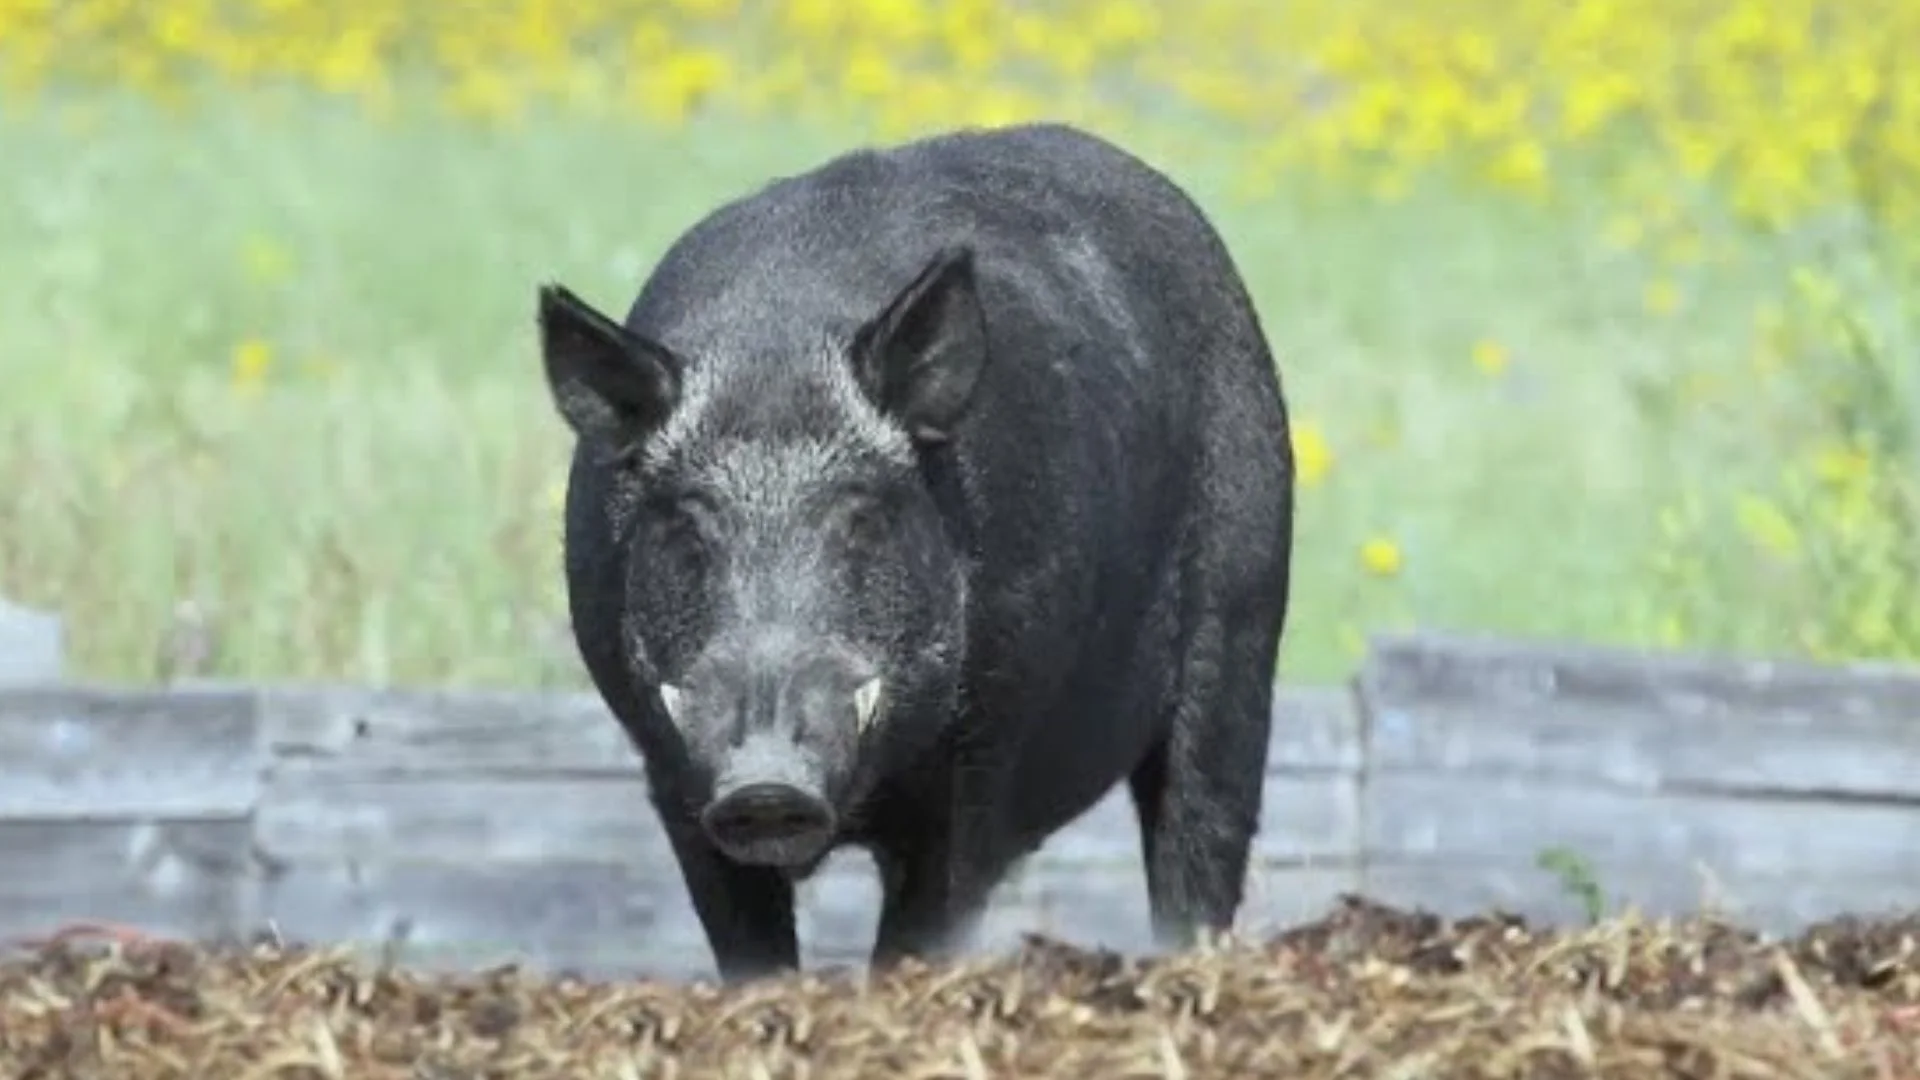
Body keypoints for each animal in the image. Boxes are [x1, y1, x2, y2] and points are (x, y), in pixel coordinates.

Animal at [536, 122, 1294, 983]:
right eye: (691, 528)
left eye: (860, 518)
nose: (767, 785)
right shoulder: (667, 765)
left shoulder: (987, 748)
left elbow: (924, 926)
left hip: (1243, 617)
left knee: (1201, 829)